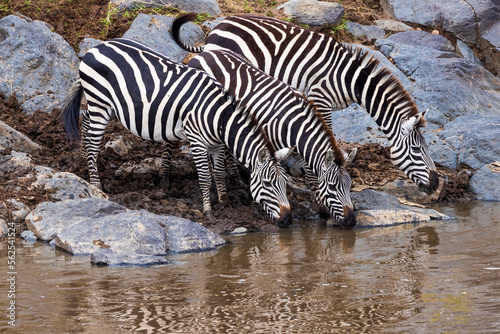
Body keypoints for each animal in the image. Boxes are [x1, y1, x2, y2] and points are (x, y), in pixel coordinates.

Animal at [60, 39, 292, 227]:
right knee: (93, 144)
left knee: (85, 119)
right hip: (100, 102)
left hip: (102, 106)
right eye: (268, 184)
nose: (287, 221)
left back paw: (83, 157)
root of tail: (95, 48)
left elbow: (218, 173)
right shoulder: (197, 141)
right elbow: (205, 177)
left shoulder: (216, 144)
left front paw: (224, 202)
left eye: (284, 183)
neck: (219, 118)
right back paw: (96, 186)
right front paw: (208, 211)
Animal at [173, 13, 442, 196]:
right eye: (417, 150)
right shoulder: (320, 97)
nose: (436, 184)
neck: (351, 80)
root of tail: (216, 27)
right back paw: (234, 173)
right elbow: (327, 135)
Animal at [187, 48, 356, 228]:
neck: (294, 125)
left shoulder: (297, 150)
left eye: (350, 185)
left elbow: (311, 176)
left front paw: (322, 208)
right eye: (332, 187)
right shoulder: (272, 145)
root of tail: (204, 53)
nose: (352, 221)